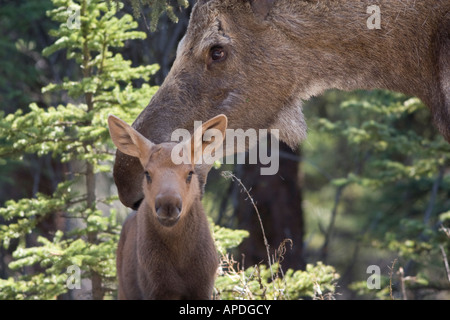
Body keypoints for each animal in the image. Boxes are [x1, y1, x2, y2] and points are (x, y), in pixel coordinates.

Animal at [108, 114, 229, 298]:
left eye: (190, 173)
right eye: (147, 173)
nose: (168, 204)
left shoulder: (203, 288)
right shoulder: (158, 289)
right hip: (124, 290)